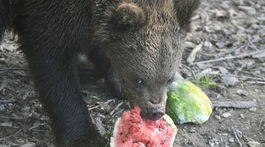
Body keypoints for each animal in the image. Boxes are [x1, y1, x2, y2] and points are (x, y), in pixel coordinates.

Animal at [0, 0, 198, 146]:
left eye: (168, 79)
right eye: (140, 80)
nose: (155, 112)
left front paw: (116, 82)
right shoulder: (50, 15)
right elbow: (53, 65)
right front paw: (85, 137)